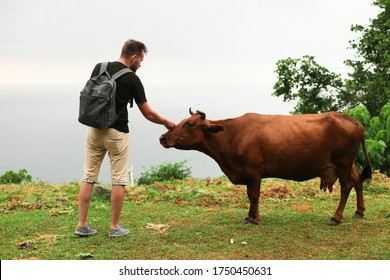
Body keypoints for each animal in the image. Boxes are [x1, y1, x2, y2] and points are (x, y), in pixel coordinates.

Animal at [159, 109, 372, 225]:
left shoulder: (254, 171)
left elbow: (254, 195)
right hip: (347, 163)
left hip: (343, 161)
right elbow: (249, 196)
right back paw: (359, 212)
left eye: (190, 124)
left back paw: (336, 217)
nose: (163, 137)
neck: (232, 136)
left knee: (346, 186)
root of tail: (355, 121)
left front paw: (254, 219)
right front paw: (249, 216)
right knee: (357, 179)